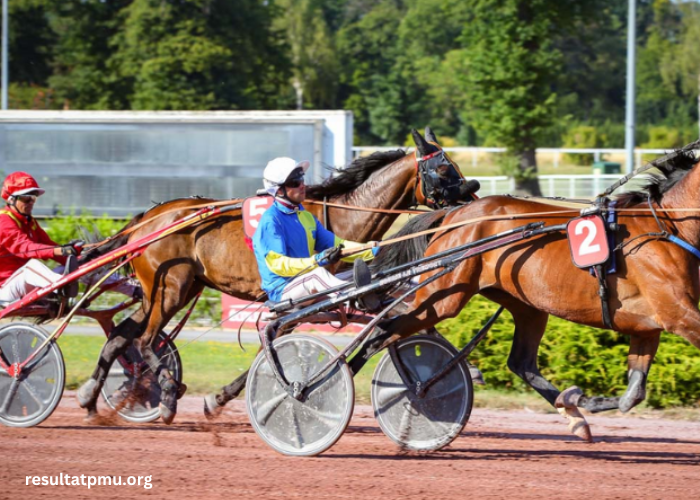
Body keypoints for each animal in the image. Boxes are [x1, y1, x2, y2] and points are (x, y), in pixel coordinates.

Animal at [74, 127, 474, 424]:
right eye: (442, 169)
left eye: (454, 164)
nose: (473, 198)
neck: (341, 214)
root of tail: (148, 218)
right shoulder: (299, 299)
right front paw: (226, 397)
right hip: (171, 287)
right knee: (145, 341)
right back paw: (168, 395)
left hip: (168, 290)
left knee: (121, 336)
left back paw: (90, 398)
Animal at [364, 149, 700, 442]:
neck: (668, 224)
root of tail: (454, 214)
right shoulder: (678, 315)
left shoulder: (648, 326)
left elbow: (634, 394)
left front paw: (579, 400)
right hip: (442, 296)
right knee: (382, 331)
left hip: (526, 305)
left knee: (521, 362)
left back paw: (575, 416)